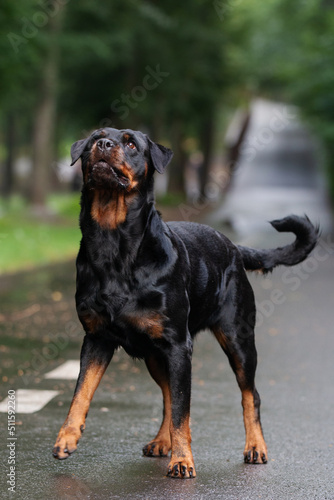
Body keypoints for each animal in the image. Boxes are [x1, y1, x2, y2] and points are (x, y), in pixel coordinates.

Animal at [52, 127, 318, 478]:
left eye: (131, 143)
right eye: (96, 137)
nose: (104, 145)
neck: (114, 246)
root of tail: (235, 246)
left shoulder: (178, 345)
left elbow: (183, 410)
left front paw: (182, 461)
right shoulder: (97, 338)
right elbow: (81, 393)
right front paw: (66, 438)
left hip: (238, 339)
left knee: (250, 394)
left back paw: (255, 447)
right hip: (155, 354)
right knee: (167, 395)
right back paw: (161, 442)